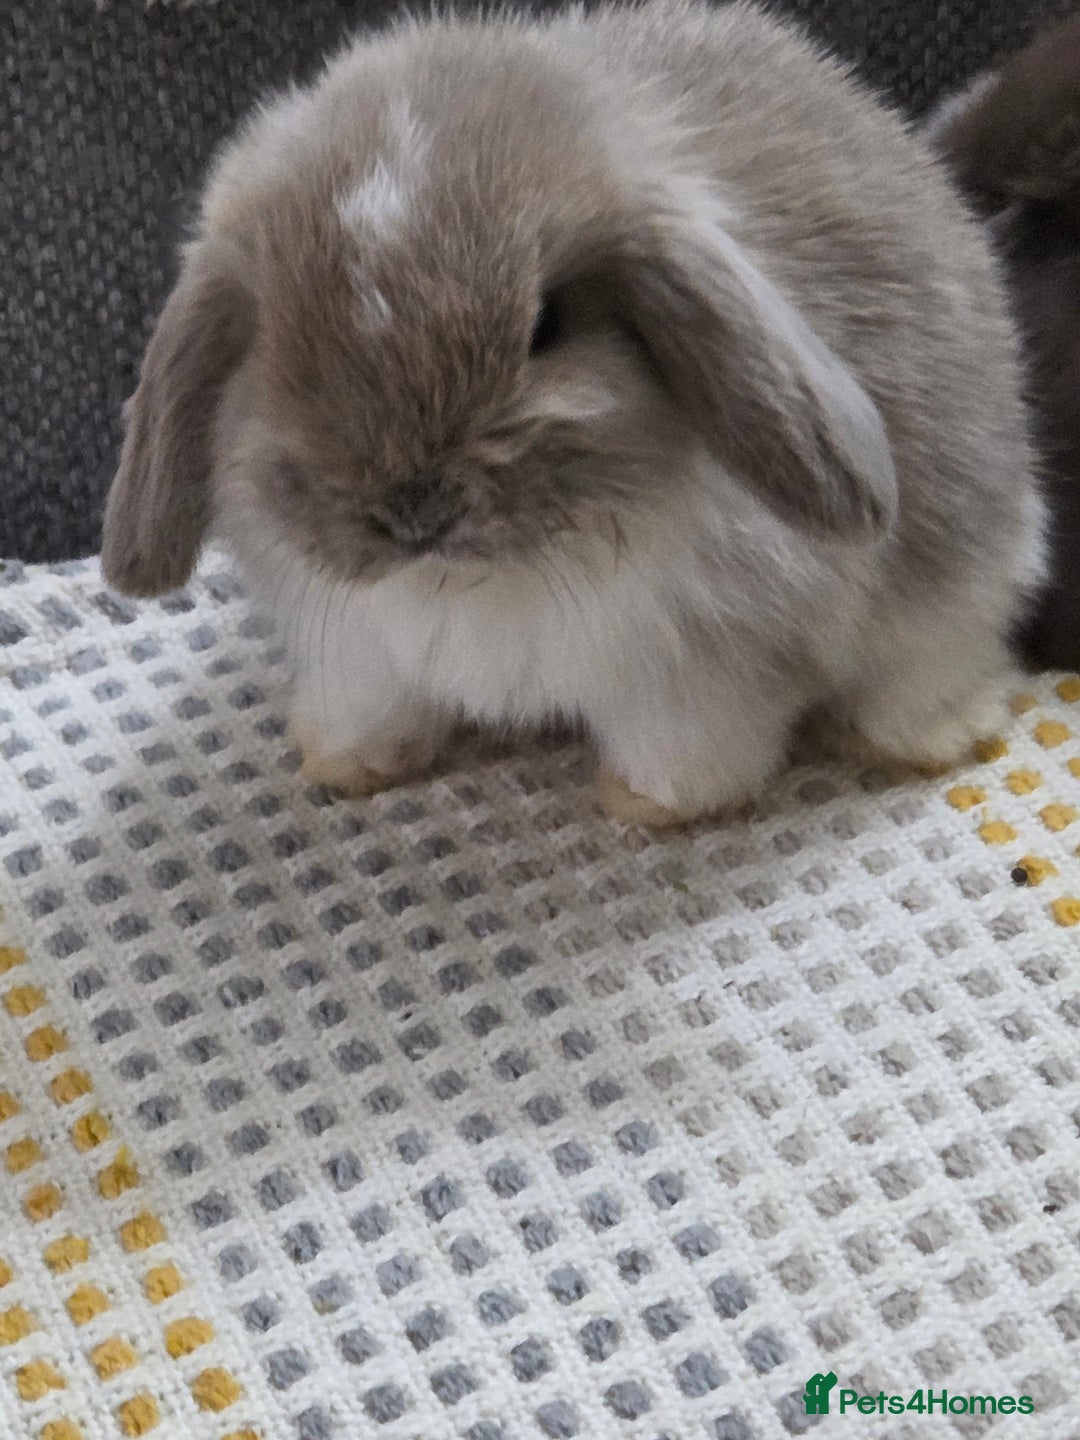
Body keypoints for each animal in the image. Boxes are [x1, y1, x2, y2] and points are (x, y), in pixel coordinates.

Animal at [100, 0, 1046, 826]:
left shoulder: (695, 668)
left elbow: (688, 746)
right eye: (276, 343)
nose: (413, 510)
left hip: (957, 589)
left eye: (546, 325)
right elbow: (371, 706)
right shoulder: (360, 651)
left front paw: (649, 805)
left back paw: (922, 737)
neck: (476, 580)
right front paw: (344, 764)